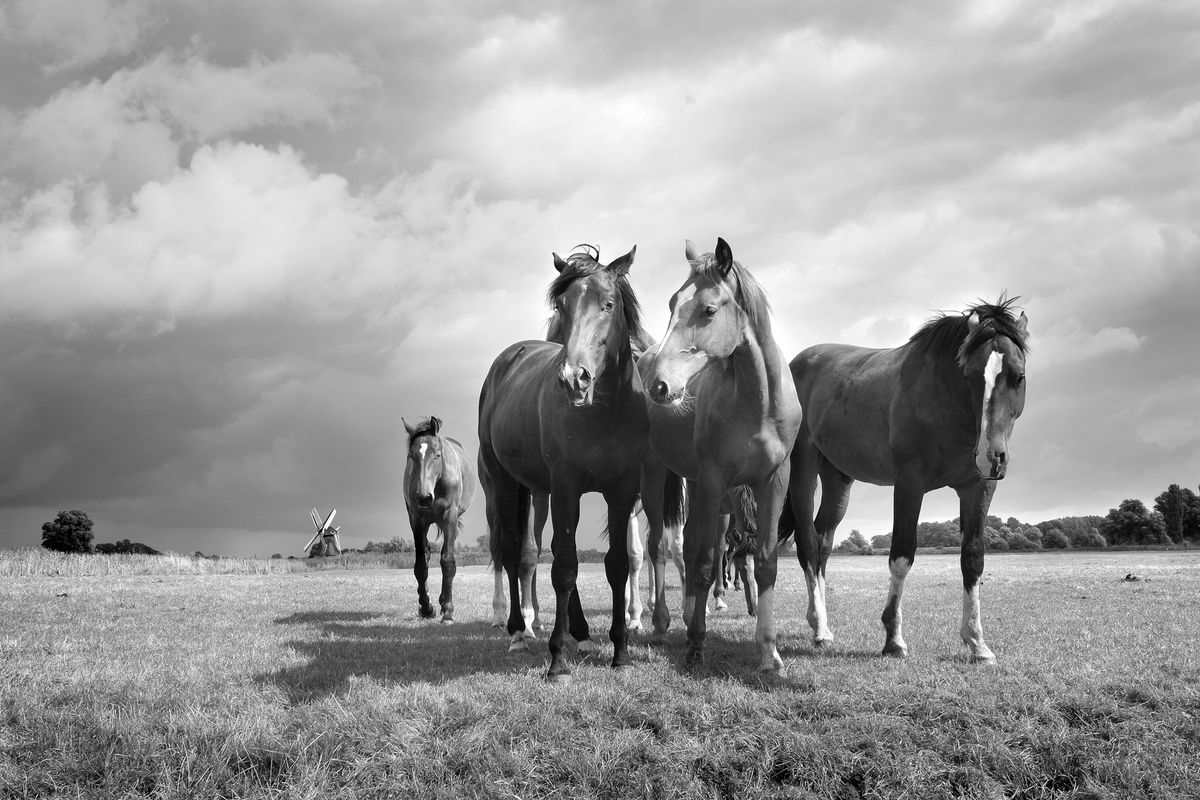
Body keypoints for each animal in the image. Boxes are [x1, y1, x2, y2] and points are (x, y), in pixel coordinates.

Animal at [403, 417, 477, 623]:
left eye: (437, 455)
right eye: (411, 455)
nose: (424, 497)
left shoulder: (450, 518)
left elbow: (448, 561)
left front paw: (448, 611)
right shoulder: (417, 521)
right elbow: (421, 565)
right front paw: (426, 607)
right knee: (427, 554)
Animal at [475, 245, 652, 681]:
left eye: (609, 304)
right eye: (562, 305)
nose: (575, 378)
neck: (605, 414)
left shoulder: (622, 490)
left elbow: (616, 564)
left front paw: (620, 651)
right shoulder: (567, 487)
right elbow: (565, 567)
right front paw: (557, 661)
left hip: (538, 490)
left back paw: (582, 634)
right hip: (505, 485)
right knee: (514, 552)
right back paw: (519, 632)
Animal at [643, 237, 801, 671]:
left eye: (709, 310)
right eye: (671, 303)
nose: (658, 385)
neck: (757, 403)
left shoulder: (772, 482)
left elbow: (764, 562)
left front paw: (769, 652)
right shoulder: (715, 479)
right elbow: (705, 563)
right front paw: (696, 646)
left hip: (697, 486)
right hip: (662, 480)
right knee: (665, 548)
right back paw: (667, 622)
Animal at [787, 297, 1032, 662]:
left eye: (1018, 377)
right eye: (970, 376)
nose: (991, 456)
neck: (942, 401)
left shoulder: (978, 488)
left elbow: (972, 559)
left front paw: (977, 643)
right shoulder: (909, 485)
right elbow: (901, 557)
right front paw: (893, 640)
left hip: (838, 480)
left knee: (822, 543)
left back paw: (822, 624)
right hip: (802, 469)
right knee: (807, 546)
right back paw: (819, 629)